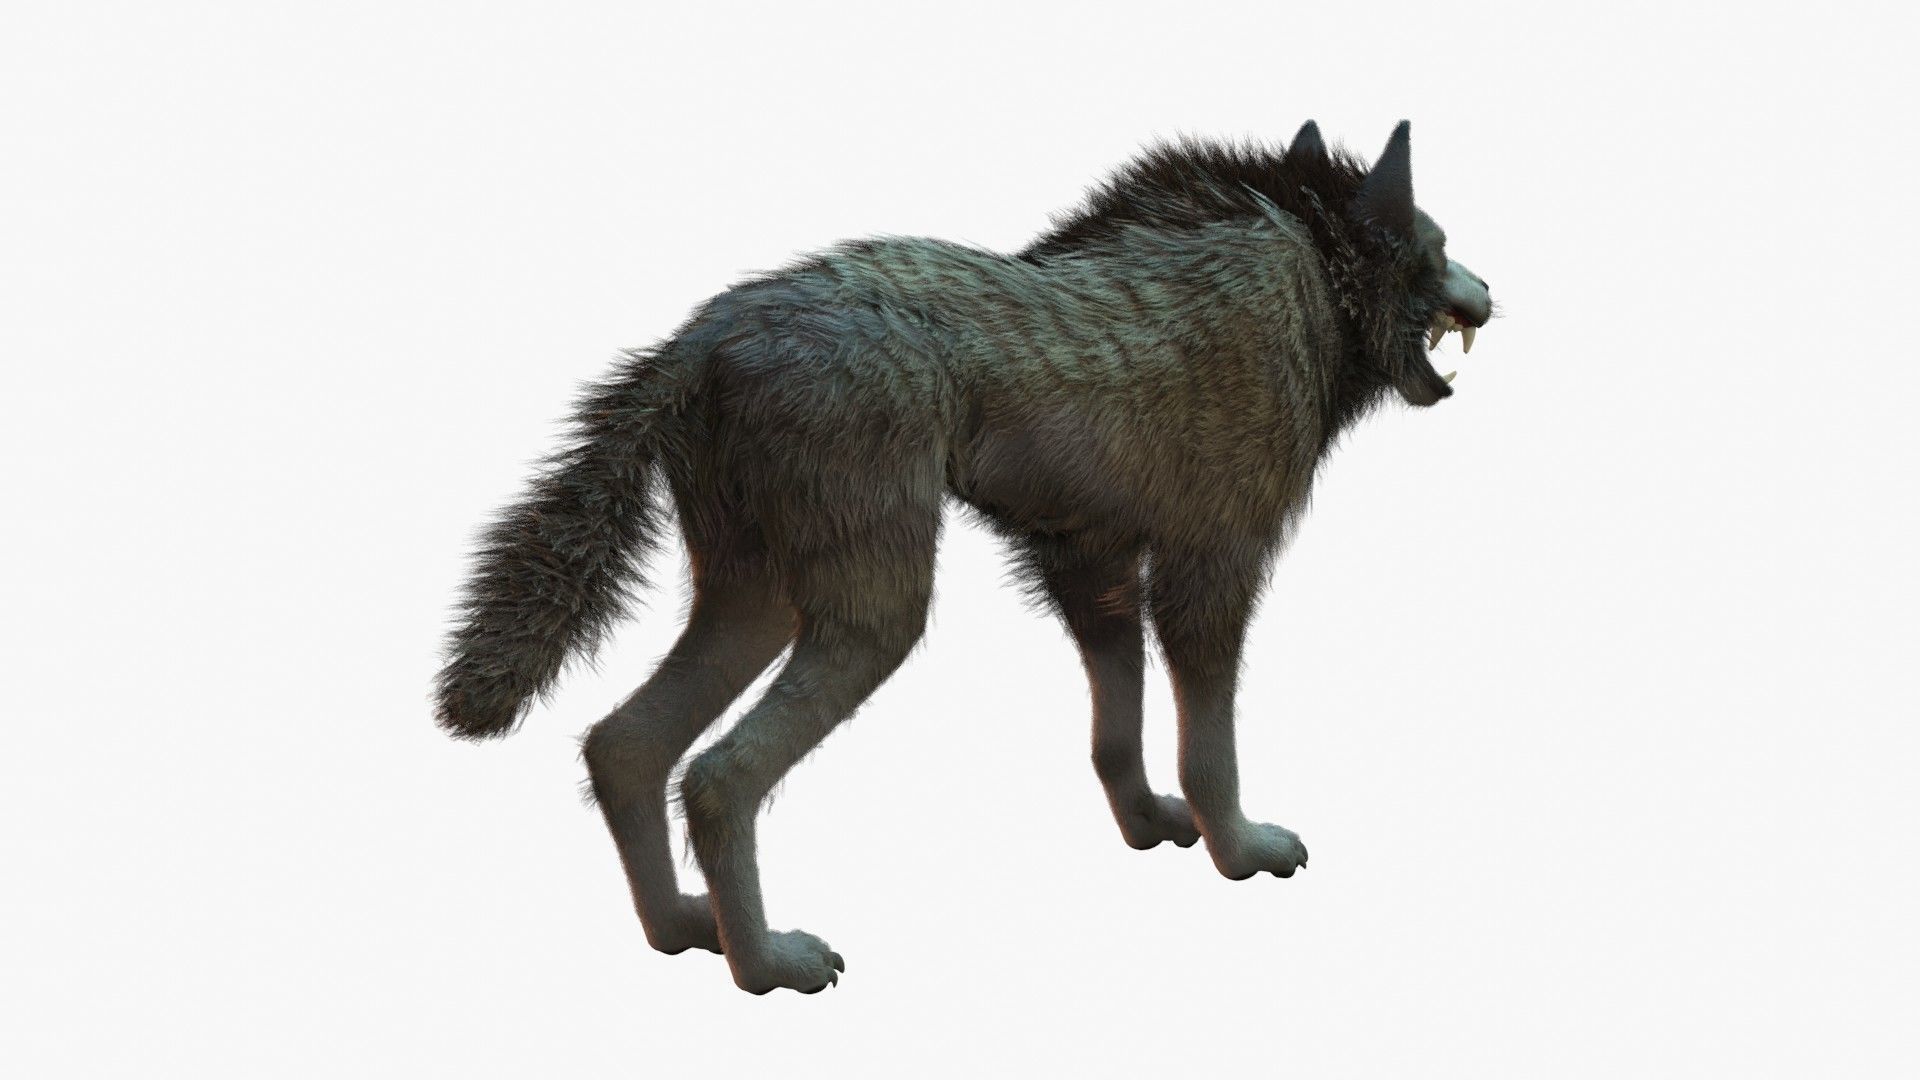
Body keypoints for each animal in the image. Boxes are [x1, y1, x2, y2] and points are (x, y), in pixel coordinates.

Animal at [436, 121, 1493, 994]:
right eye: (1438, 248)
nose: (1490, 294)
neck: (1312, 270)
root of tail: (702, 336)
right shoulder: (1211, 569)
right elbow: (1211, 748)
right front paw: (1237, 850)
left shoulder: (1093, 569)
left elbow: (1117, 734)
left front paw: (1149, 827)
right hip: (876, 613)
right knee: (717, 775)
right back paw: (766, 965)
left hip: (760, 598)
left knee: (626, 745)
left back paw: (683, 933)